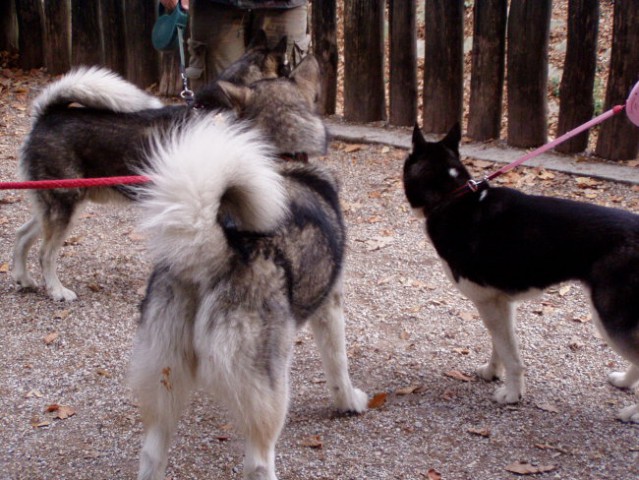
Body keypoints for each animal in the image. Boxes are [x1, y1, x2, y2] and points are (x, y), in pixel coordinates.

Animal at [13, 33, 288, 302]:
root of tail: (48, 115)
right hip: (64, 206)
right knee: (45, 253)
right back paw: (56, 290)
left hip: (57, 206)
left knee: (22, 235)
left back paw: (23, 278)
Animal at [129, 54, 370, 478]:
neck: (282, 160)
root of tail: (215, 252)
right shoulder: (331, 304)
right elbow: (338, 363)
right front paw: (348, 402)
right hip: (269, 392)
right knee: (258, 461)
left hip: (165, 379)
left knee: (152, 452)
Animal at [404, 122, 639, 422]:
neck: (453, 196)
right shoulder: (500, 303)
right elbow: (500, 345)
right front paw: (492, 372)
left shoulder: (486, 302)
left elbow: (509, 353)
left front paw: (512, 394)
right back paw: (624, 382)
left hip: (611, 320)